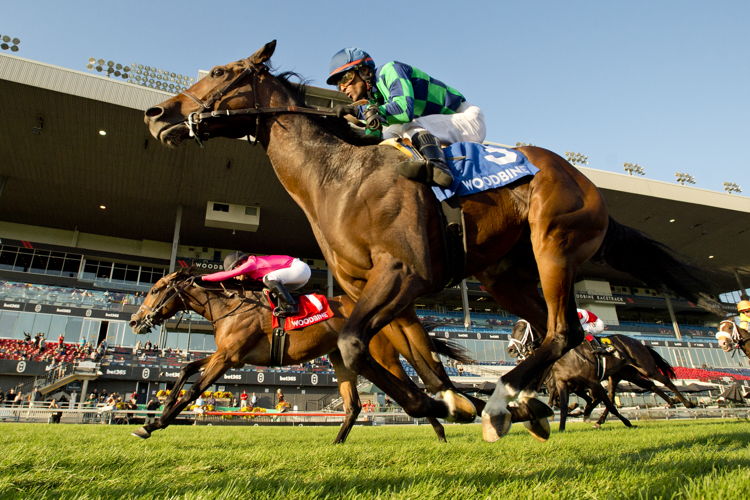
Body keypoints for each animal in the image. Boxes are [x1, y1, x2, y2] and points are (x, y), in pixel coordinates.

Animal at [126, 270, 544, 442]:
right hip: (340, 359)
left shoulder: (229, 357)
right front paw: (152, 415)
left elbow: (195, 390)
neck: (229, 307)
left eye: (155, 290)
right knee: (356, 405)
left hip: (381, 358)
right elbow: (184, 371)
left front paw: (153, 424)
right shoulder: (227, 355)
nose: (133, 320)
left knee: (416, 388)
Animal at [512, 320, 700, 430]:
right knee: (646, 386)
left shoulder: (591, 382)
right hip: (623, 374)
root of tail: (639, 342)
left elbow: (603, 403)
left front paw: (626, 422)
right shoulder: (563, 383)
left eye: (521, 329)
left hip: (645, 368)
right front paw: (563, 426)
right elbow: (564, 406)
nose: (511, 350)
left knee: (665, 380)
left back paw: (687, 403)